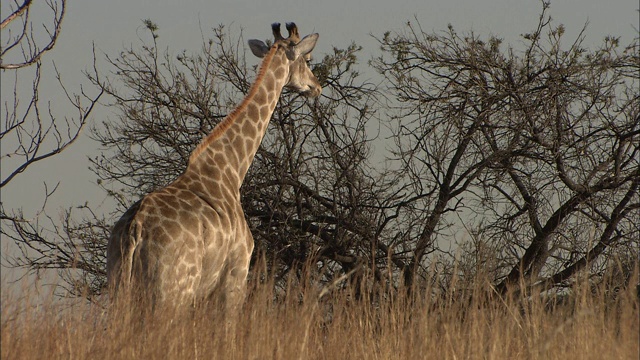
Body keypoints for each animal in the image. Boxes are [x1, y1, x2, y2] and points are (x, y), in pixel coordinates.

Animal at [107, 22, 322, 310]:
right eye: (307, 60)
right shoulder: (236, 272)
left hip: (119, 287)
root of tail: (135, 230)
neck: (231, 169)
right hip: (173, 291)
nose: (316, 87)